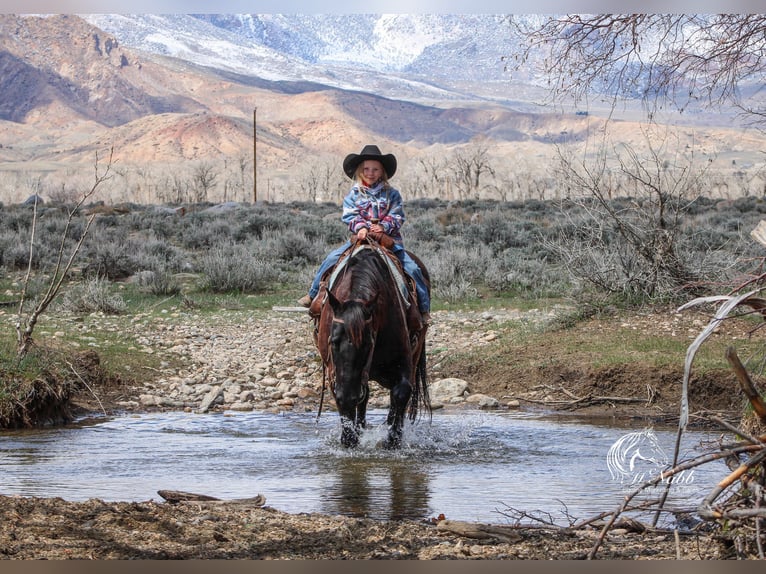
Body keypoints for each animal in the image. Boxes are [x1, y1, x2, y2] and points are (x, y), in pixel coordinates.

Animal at [314, 238, 432, 450]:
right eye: (333, 341)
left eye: (368, 343)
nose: (348, 396)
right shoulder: (335, 371)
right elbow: (344, 400)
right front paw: (349, 439)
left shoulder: (404, 362)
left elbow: (401, 393)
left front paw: (392, 441)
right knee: (364, 396)